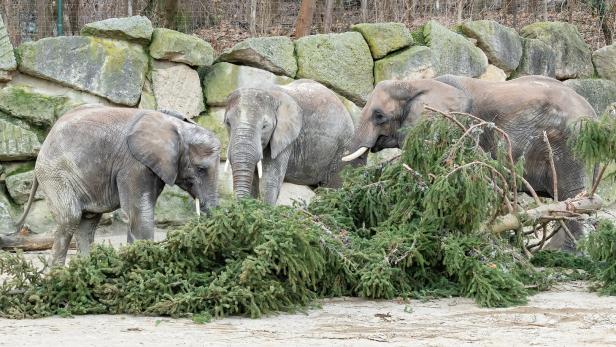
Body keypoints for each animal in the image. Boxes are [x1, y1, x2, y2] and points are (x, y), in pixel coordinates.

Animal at [14, 106, 223, 266]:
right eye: (201, 169)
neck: (175, 126)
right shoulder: (133, 165)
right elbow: (140, 213)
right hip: (55, 173)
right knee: (70, 217)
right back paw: (57, 277)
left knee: (87, 223)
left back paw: (85, 272)